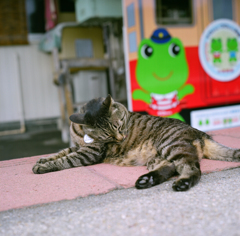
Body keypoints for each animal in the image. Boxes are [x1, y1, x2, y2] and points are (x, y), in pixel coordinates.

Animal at [32, 95, 240, 191]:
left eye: (119, 127)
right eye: (108, 135)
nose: (121, 138)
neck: (82, 133)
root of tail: (199, 131)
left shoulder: (88, 152)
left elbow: (65, 160)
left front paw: (44, 166)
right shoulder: (76, 146)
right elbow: (60, 152)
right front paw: (42, 160)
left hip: (170, 146)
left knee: (192, 167)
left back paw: (183, 182)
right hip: (158, 157)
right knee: (171, 167)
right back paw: (147, 180)